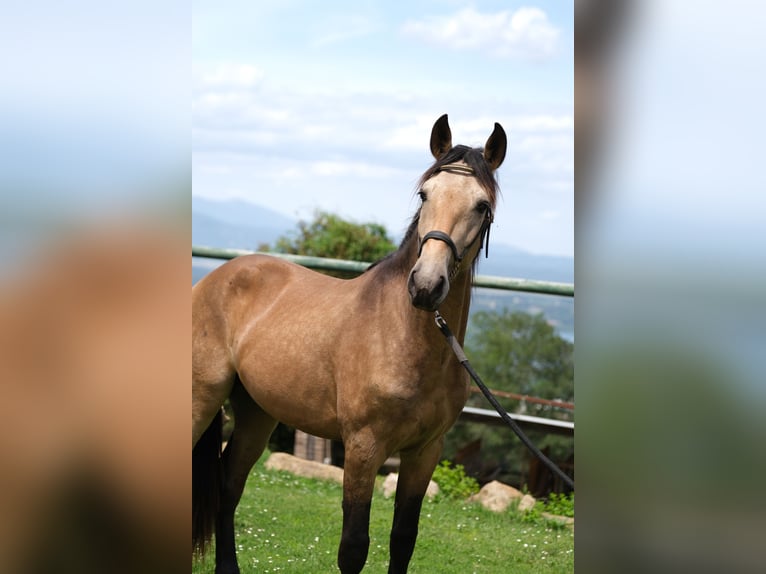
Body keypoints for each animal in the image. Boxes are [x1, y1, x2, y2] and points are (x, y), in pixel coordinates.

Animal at [192, 115, 508, 572]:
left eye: (482, 205)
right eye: (425, 193)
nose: (426, 285)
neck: (406, 341)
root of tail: (213, 279)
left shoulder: (424, 453)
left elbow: (403, 539)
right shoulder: (363, 448)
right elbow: (354, 547)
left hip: (257, 413)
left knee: (229, 486)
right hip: (201, 398)